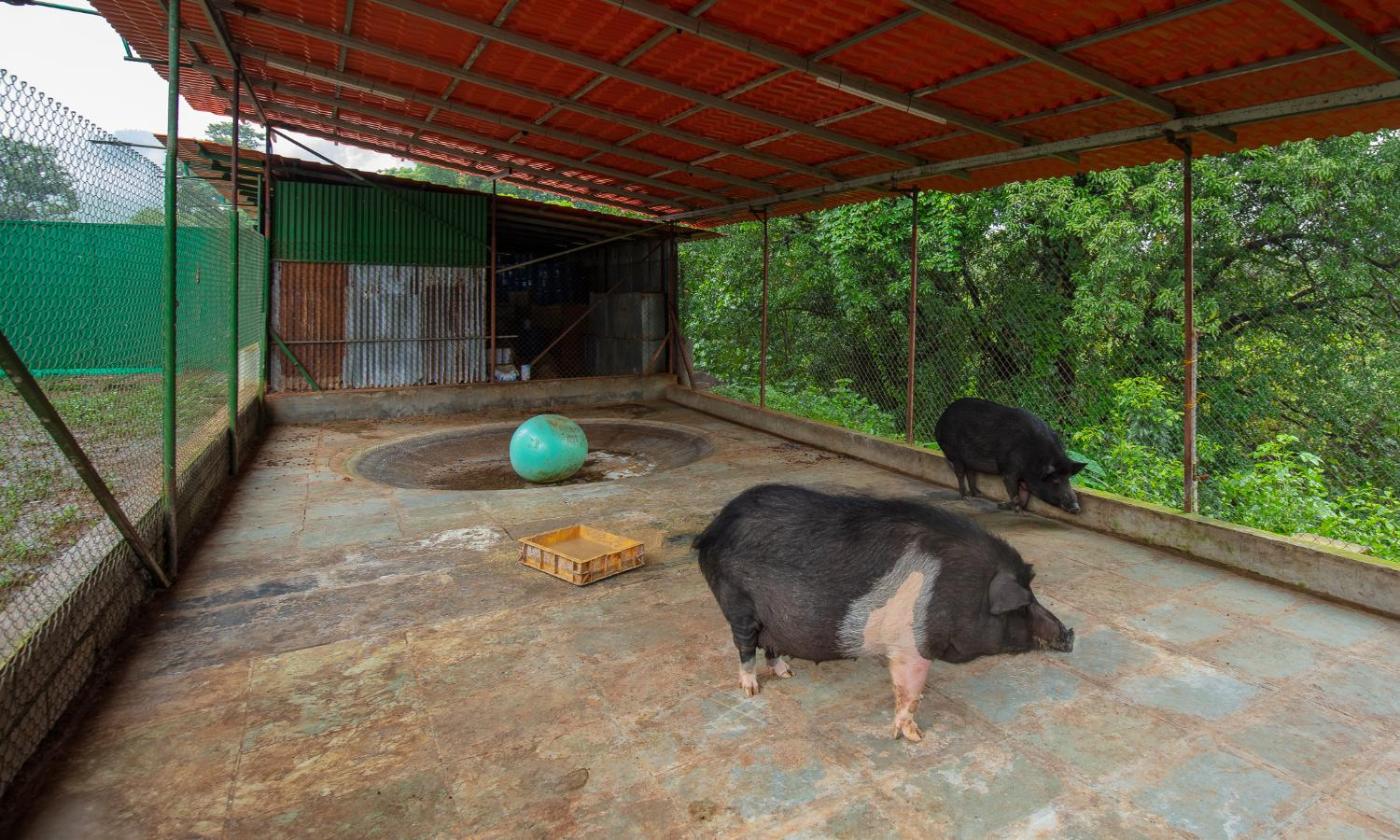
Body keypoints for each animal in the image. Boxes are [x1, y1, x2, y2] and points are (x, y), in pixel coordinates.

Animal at [693, 484, 1074, 741]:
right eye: (1024, 604)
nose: (1070, 633)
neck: (966, 589)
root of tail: (713, 528)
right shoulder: (911, 646)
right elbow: (909, 691)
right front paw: (914, 736)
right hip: (737, 602)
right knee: (745, 645)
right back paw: (751, 690)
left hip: (773, 617)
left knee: (770, 644)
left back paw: (787, 674)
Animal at [934, 397, 1086, 514]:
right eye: (1055, 481)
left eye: (1068, 479)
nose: (1076, 508)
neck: (1035, 458)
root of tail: (941, 419)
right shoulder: (1008, 469)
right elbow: (1012, 489)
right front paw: (1014, 509)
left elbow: (1024, 495)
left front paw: (1007, 506)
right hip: (953, 452)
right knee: (960, 473)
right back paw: (965, 497)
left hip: (969, 459)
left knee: (971, 472)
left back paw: (978, 494)